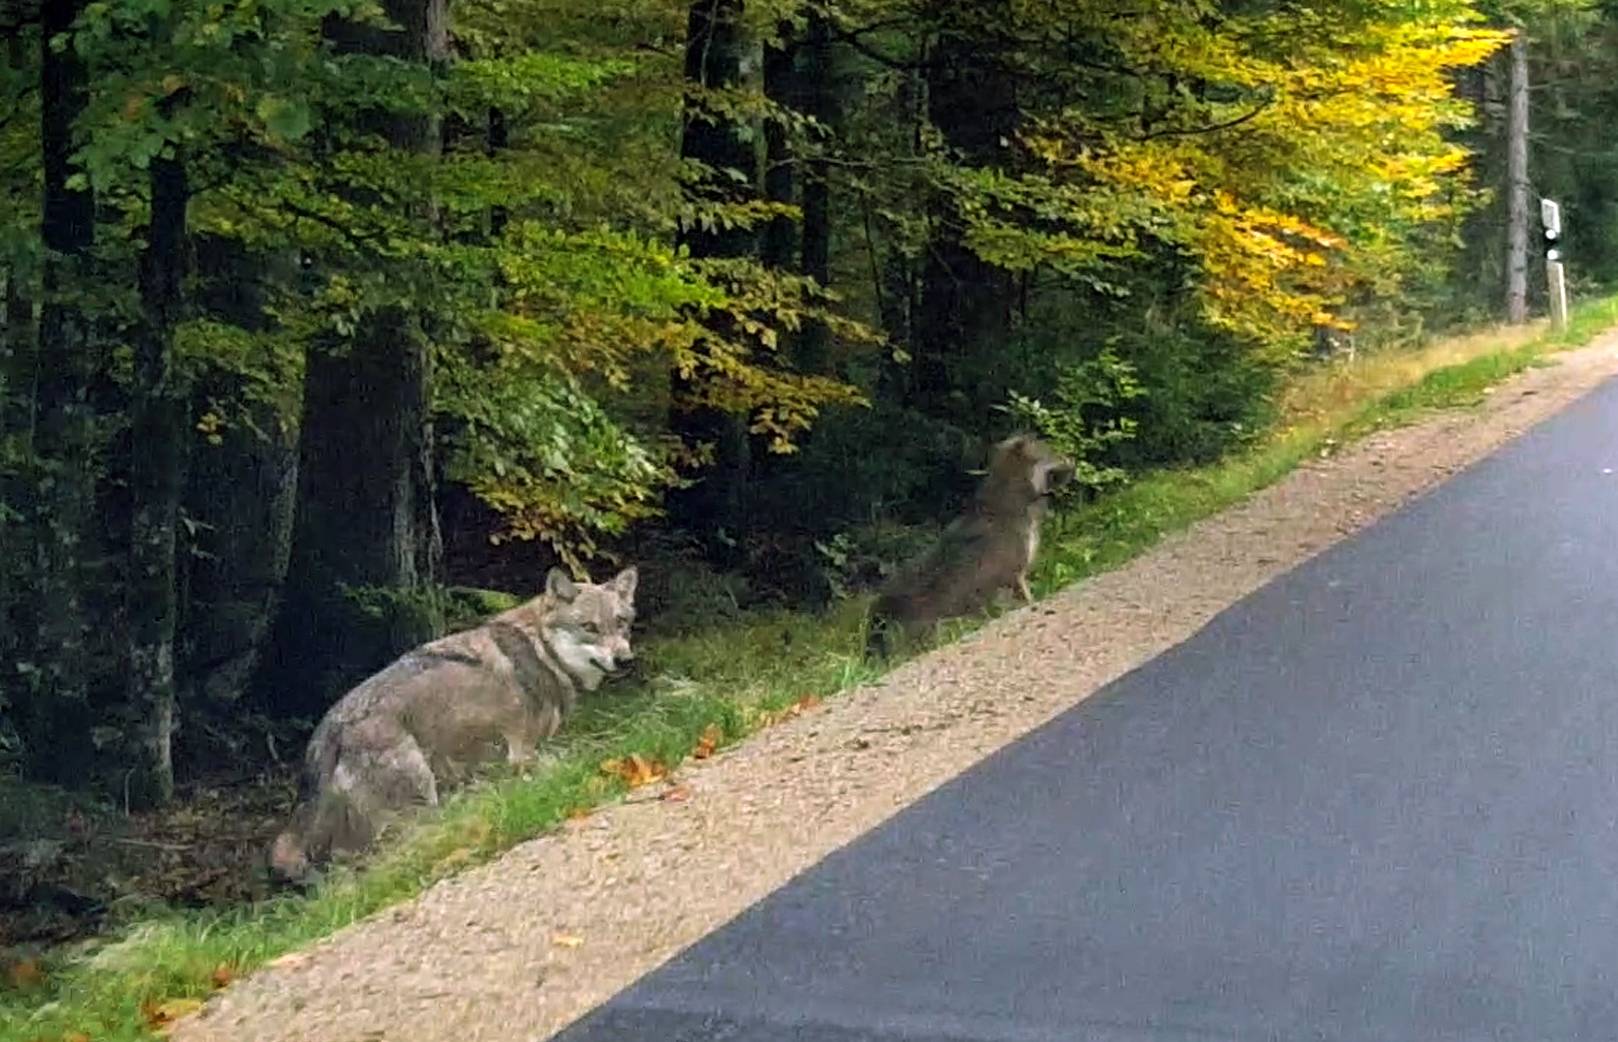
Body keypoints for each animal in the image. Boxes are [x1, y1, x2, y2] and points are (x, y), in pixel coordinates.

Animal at [266, 563, 637, 880]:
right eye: (589, 627)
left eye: (620, 622)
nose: (624, 659)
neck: (544, 651)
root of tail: (329, 728)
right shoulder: (524, 754)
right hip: (419, 797)